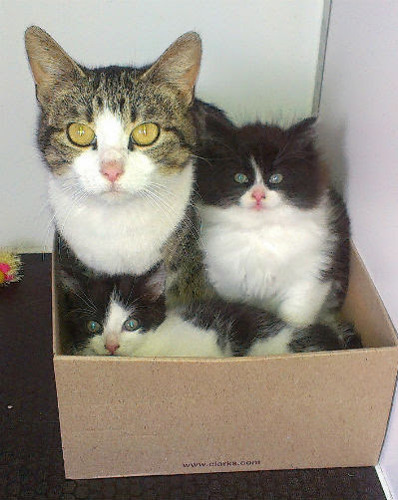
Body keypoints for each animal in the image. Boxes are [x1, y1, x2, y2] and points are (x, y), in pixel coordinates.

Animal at [197, 118, 350, 326]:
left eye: (276, 178)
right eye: (240, 178)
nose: (258, 195)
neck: (260, 230)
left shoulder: (313, 274)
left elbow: (296, 316)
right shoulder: (227, 280)